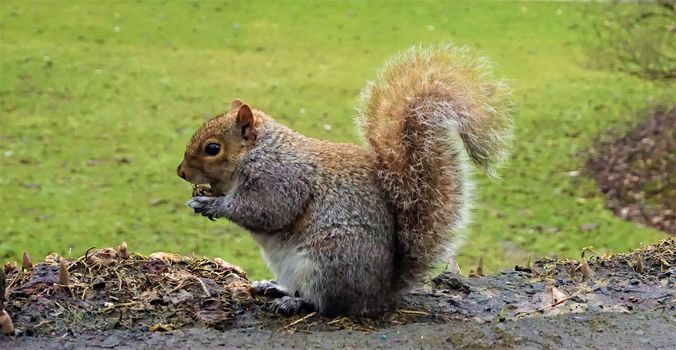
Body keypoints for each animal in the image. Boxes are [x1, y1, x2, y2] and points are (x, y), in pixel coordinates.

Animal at [176, 43, 512, 314]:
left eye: (213, 148)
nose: (181, 172)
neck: (259, 151)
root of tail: (379, 294)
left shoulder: (280, 178)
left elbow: (265, 211)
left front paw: (209, 203)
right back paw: (273, 286)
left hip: (325, 263)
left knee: (325, 303)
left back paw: (293, 302)